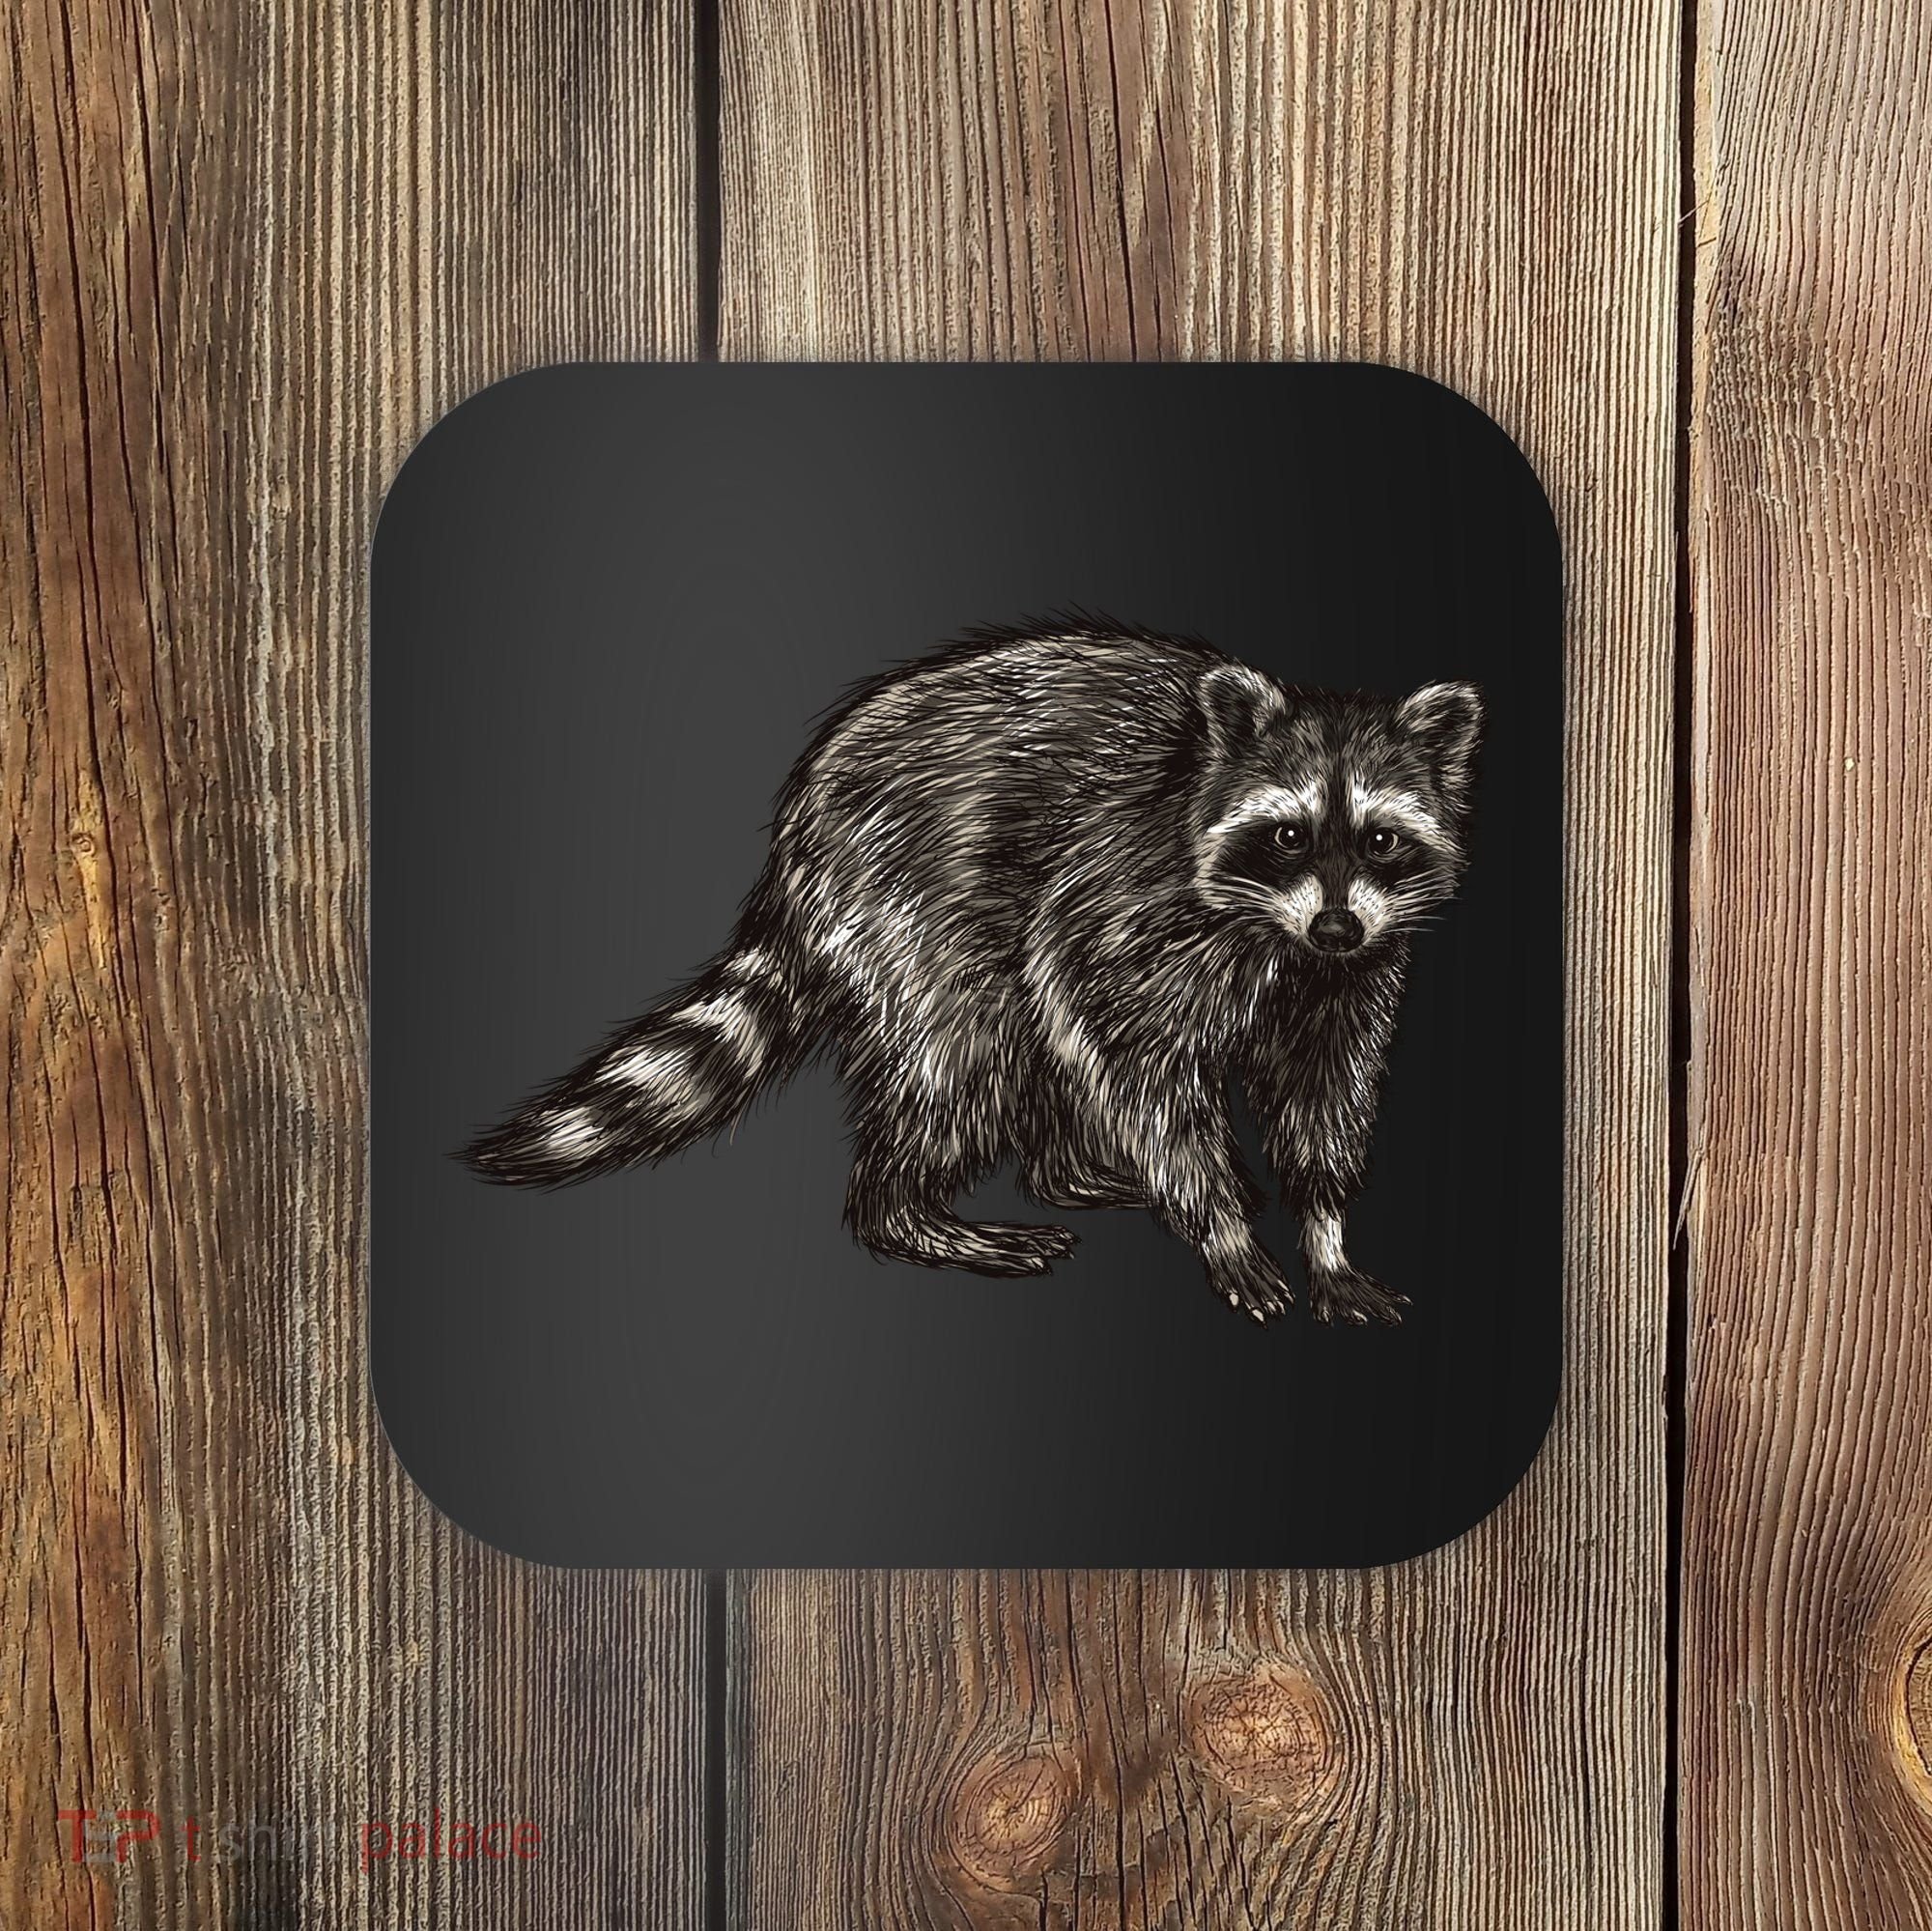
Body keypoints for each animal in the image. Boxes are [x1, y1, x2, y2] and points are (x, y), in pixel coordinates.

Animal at [461, 618, 1482, 1326]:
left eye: (1381, 839)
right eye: (1288, 834)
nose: (1338, 922)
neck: (1281, 932)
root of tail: (796, 832)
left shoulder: (1353, 973)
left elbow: (1324, 1089)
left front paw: (1326, 1232)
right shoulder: (1129, 892)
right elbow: (1128, 1048)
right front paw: (1220, 1217)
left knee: (1034, 1036)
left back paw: (1066, 1169)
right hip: (907, 890)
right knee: (968, 1050)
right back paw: (907, 1207)